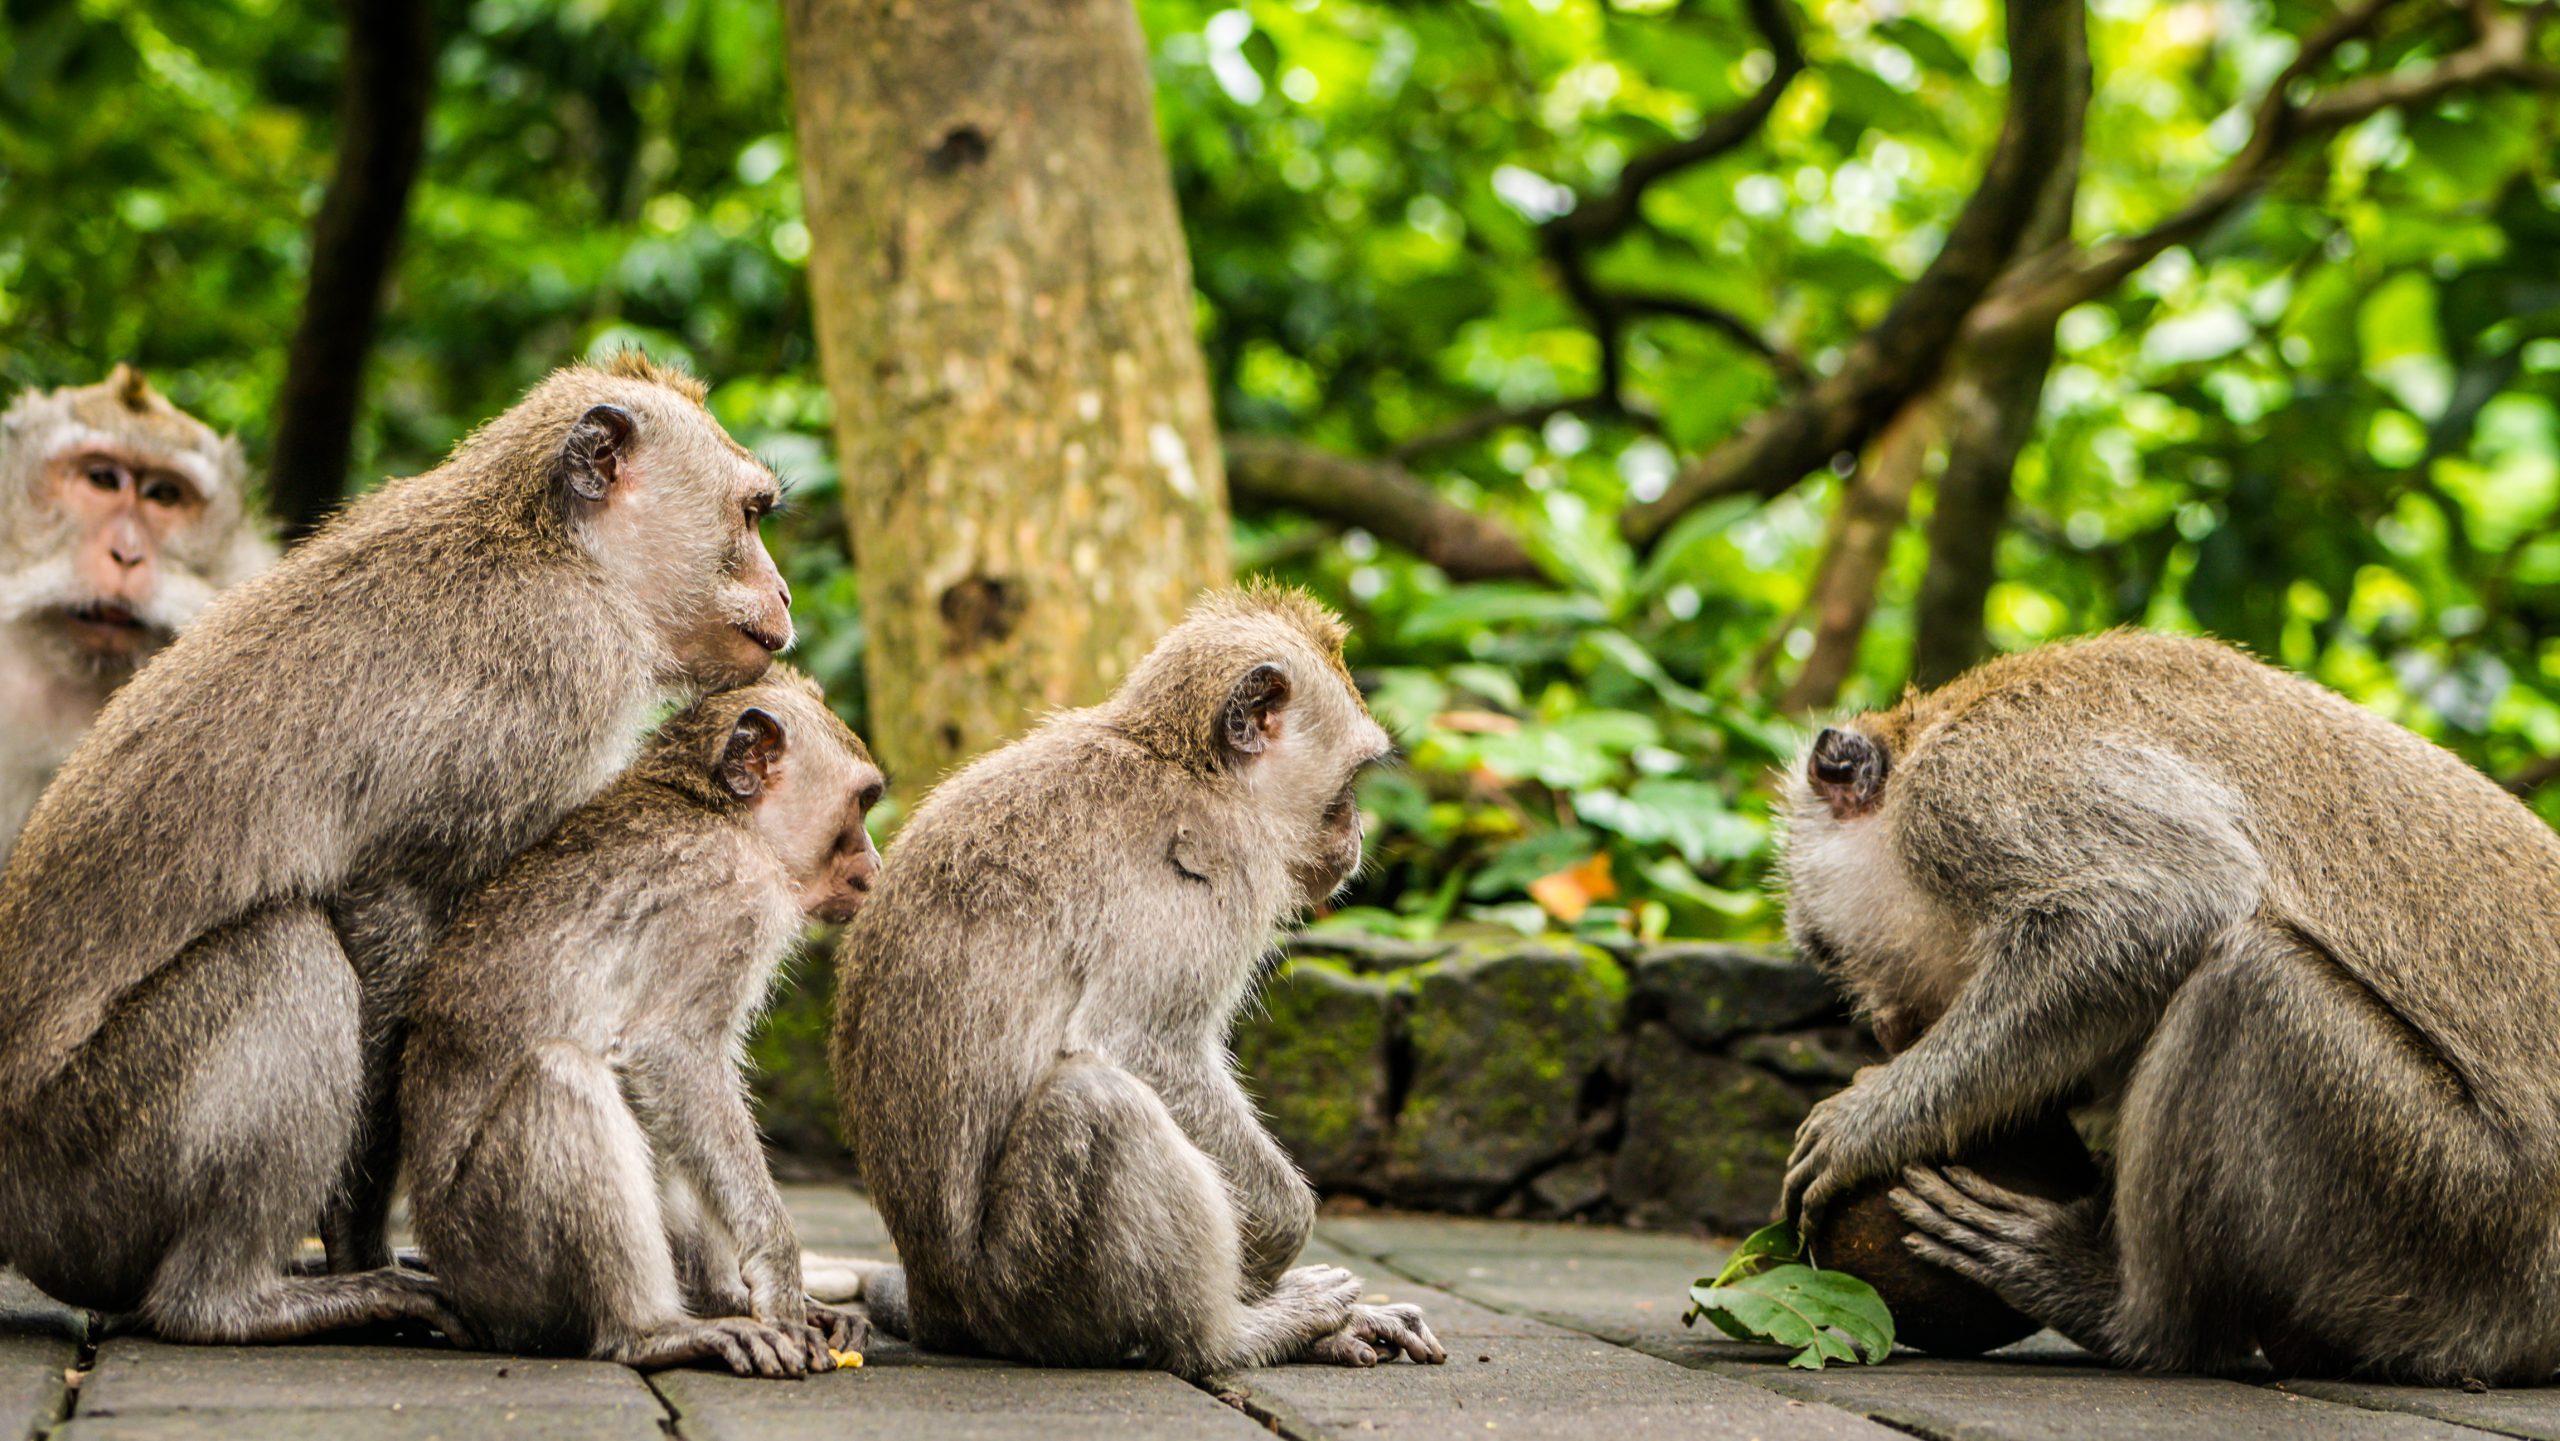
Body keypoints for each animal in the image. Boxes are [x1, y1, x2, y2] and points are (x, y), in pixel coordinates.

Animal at [402, 667, 878, 1378]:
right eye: (864, 804)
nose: (875, 872)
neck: (717, 811)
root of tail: (459, 1287)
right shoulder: (730, 893)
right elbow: (673, 1053)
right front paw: (778, 1275)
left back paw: (713, 1298)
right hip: (495, 1254)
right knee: (563, 1076)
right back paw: (652, 1331)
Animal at [830, 585, 1447, 1378]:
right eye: (1352, 781)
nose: (1360, 834)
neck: (1186, 762)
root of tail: (941, 1307)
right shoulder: (1211, 866)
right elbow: (1137, 1042)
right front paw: (1284, 1228)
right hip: (1028, 1292)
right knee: (1099, 1101)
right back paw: (1233, 1336)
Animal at [1777, 629, 2560, 1385]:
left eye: (1827, 951)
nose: (1885, 1024)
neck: (1928, 732)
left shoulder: (1967, 788)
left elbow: (2170, 903)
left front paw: (1866, 1123)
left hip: (2458, 1220)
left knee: (2247, 985)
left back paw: (2134, 1317)